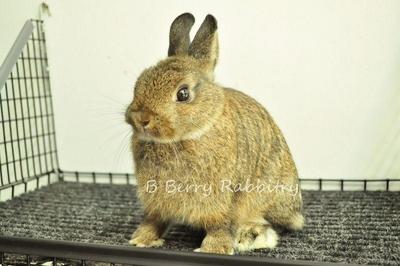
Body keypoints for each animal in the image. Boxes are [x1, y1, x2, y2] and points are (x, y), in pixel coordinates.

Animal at [126, 13, 304, 256]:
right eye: (139, 82)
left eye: (183, 94)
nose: (141, 118)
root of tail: (297, 213)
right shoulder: (156, 201)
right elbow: (154, 220)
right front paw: (141, 239)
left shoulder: (221, 199)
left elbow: (219, 224)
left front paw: (213, 249)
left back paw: (249, 236)